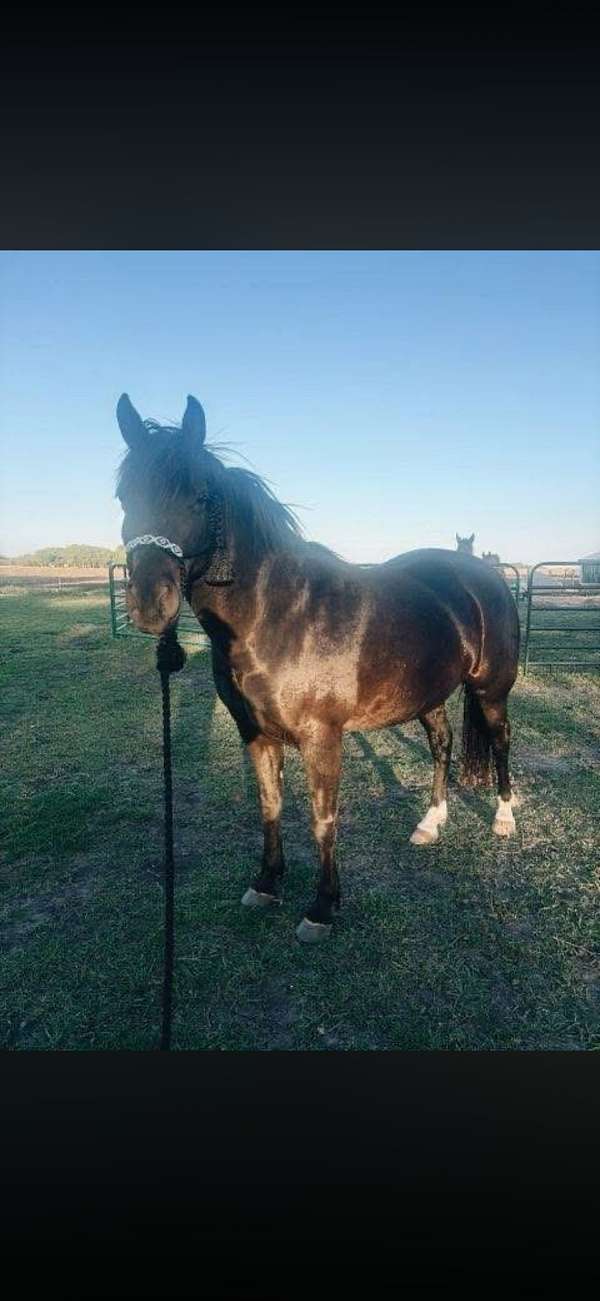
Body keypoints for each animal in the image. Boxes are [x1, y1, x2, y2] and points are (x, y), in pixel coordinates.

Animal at [115, 394, 520, 943]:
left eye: (201, 497)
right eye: (123, 496)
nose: (150, 605)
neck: (279, 615)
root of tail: (486, 576)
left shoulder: (321, 737)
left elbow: (322, 819)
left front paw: (322, 908)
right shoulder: (256, 733)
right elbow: (270, 806)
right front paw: (267, 883)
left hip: (490, 691)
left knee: (500, 742)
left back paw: (504, 819)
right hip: (427, 695)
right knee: (442, 744)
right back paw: (429, 823)